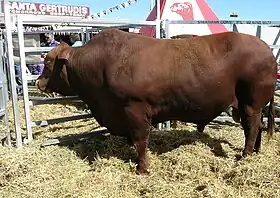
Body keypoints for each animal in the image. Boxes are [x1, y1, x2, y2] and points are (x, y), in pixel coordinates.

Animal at [36, 28, 276, 175]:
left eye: (47, 63)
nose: (38, 83)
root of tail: (266, 48)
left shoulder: (135, 109)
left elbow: (141, 141)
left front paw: (142, 169)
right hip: (251, 105)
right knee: (258, 126)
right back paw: (255, 152)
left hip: (251, 102)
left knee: (252, 126)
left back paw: (245, 155)